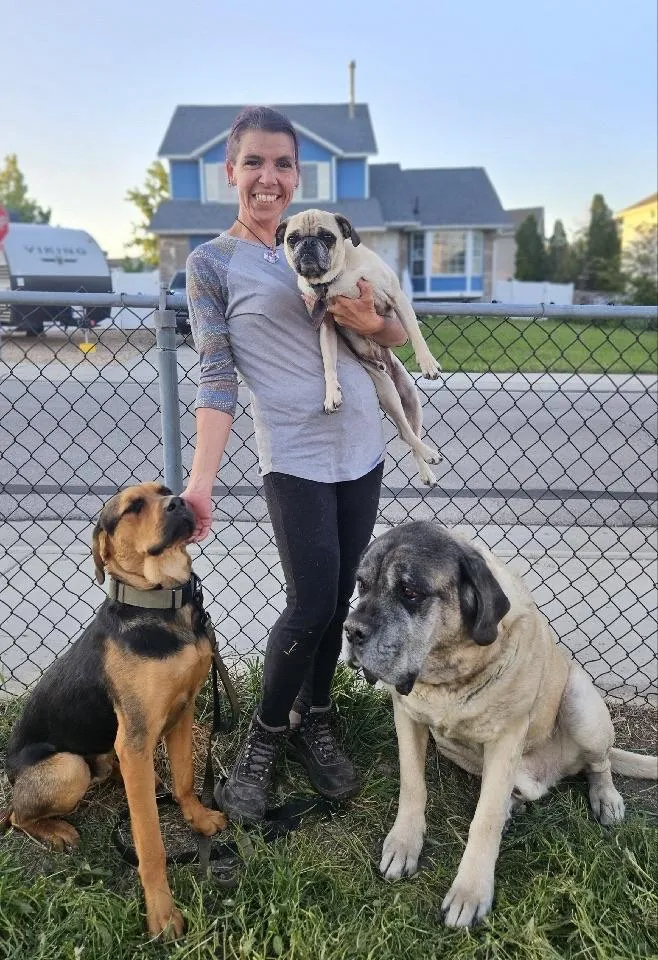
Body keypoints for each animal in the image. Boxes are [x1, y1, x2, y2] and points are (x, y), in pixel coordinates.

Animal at [0, 484, 226, 932]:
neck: (159, 605)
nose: (180, 502)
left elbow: (185, 779)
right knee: (18, 817)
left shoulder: (183, 711)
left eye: (165, 491)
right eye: (132, 507)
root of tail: (11, 774)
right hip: (69, 768)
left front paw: (199, 819)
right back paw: (56, 831)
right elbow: (150, 843)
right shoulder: (136, 738)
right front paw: (162, 913)